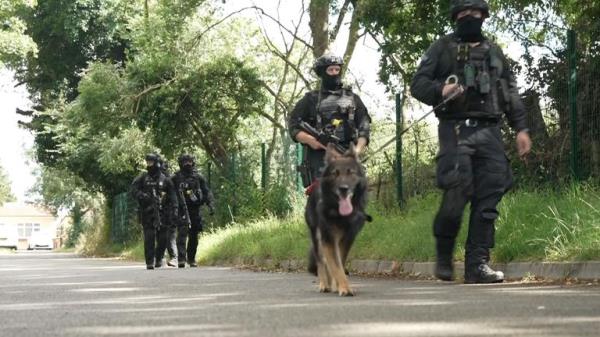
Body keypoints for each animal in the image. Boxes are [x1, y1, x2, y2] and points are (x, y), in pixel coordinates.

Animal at [304, 143, 370, 296]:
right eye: (335, 173)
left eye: (350, 172)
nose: (343, 188)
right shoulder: (328, 238)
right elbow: (335, 264)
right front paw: (344, 288)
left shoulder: (348, 238)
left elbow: (339, 261)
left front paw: (338, 285)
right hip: (316, 236)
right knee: (321, 261)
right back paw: (324, 284)